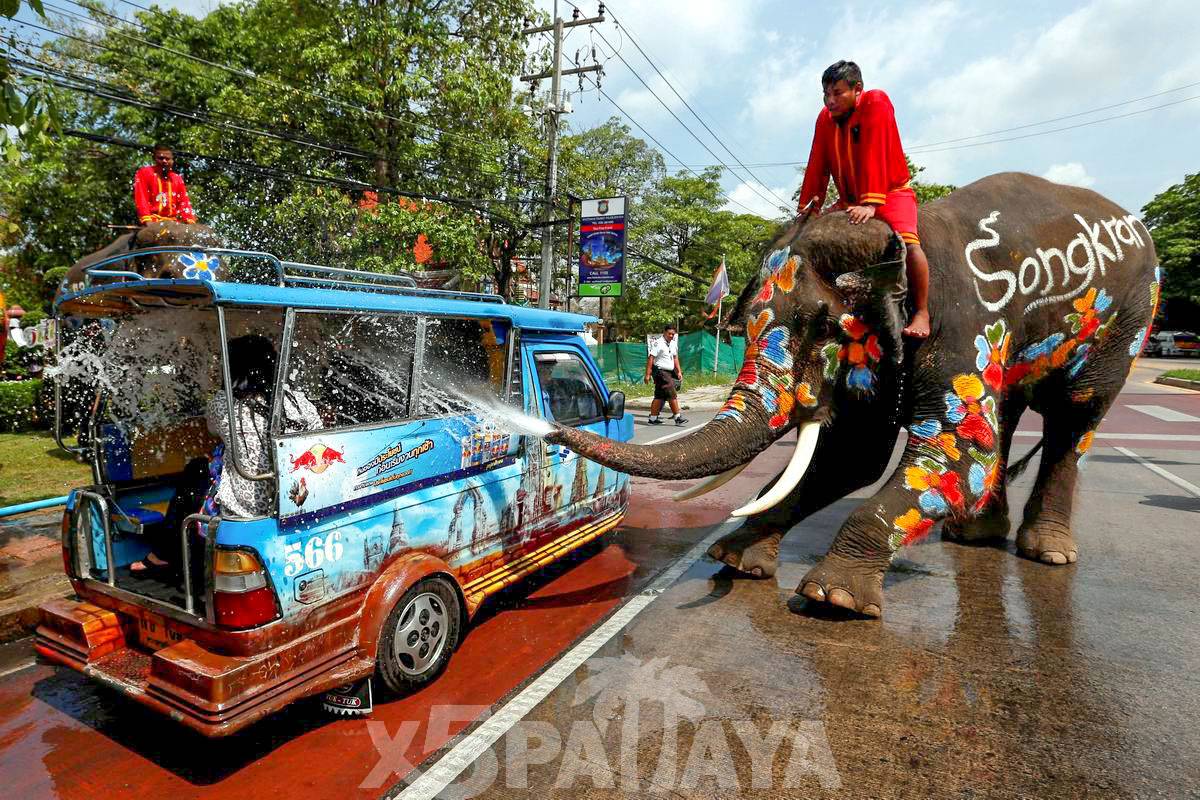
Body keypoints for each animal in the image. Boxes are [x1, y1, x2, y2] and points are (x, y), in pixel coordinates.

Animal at [549, 173, 1156, 618]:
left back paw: (1047, 553)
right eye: (744, 323)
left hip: (1130, 316)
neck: (897, 240)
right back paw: (975, 536)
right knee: (1007, 415)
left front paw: (832, 597)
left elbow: (957, 454)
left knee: (1075, 415)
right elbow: (850, 456)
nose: (552, 427)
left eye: (823, 327)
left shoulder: (962, 325)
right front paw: (737, 560)